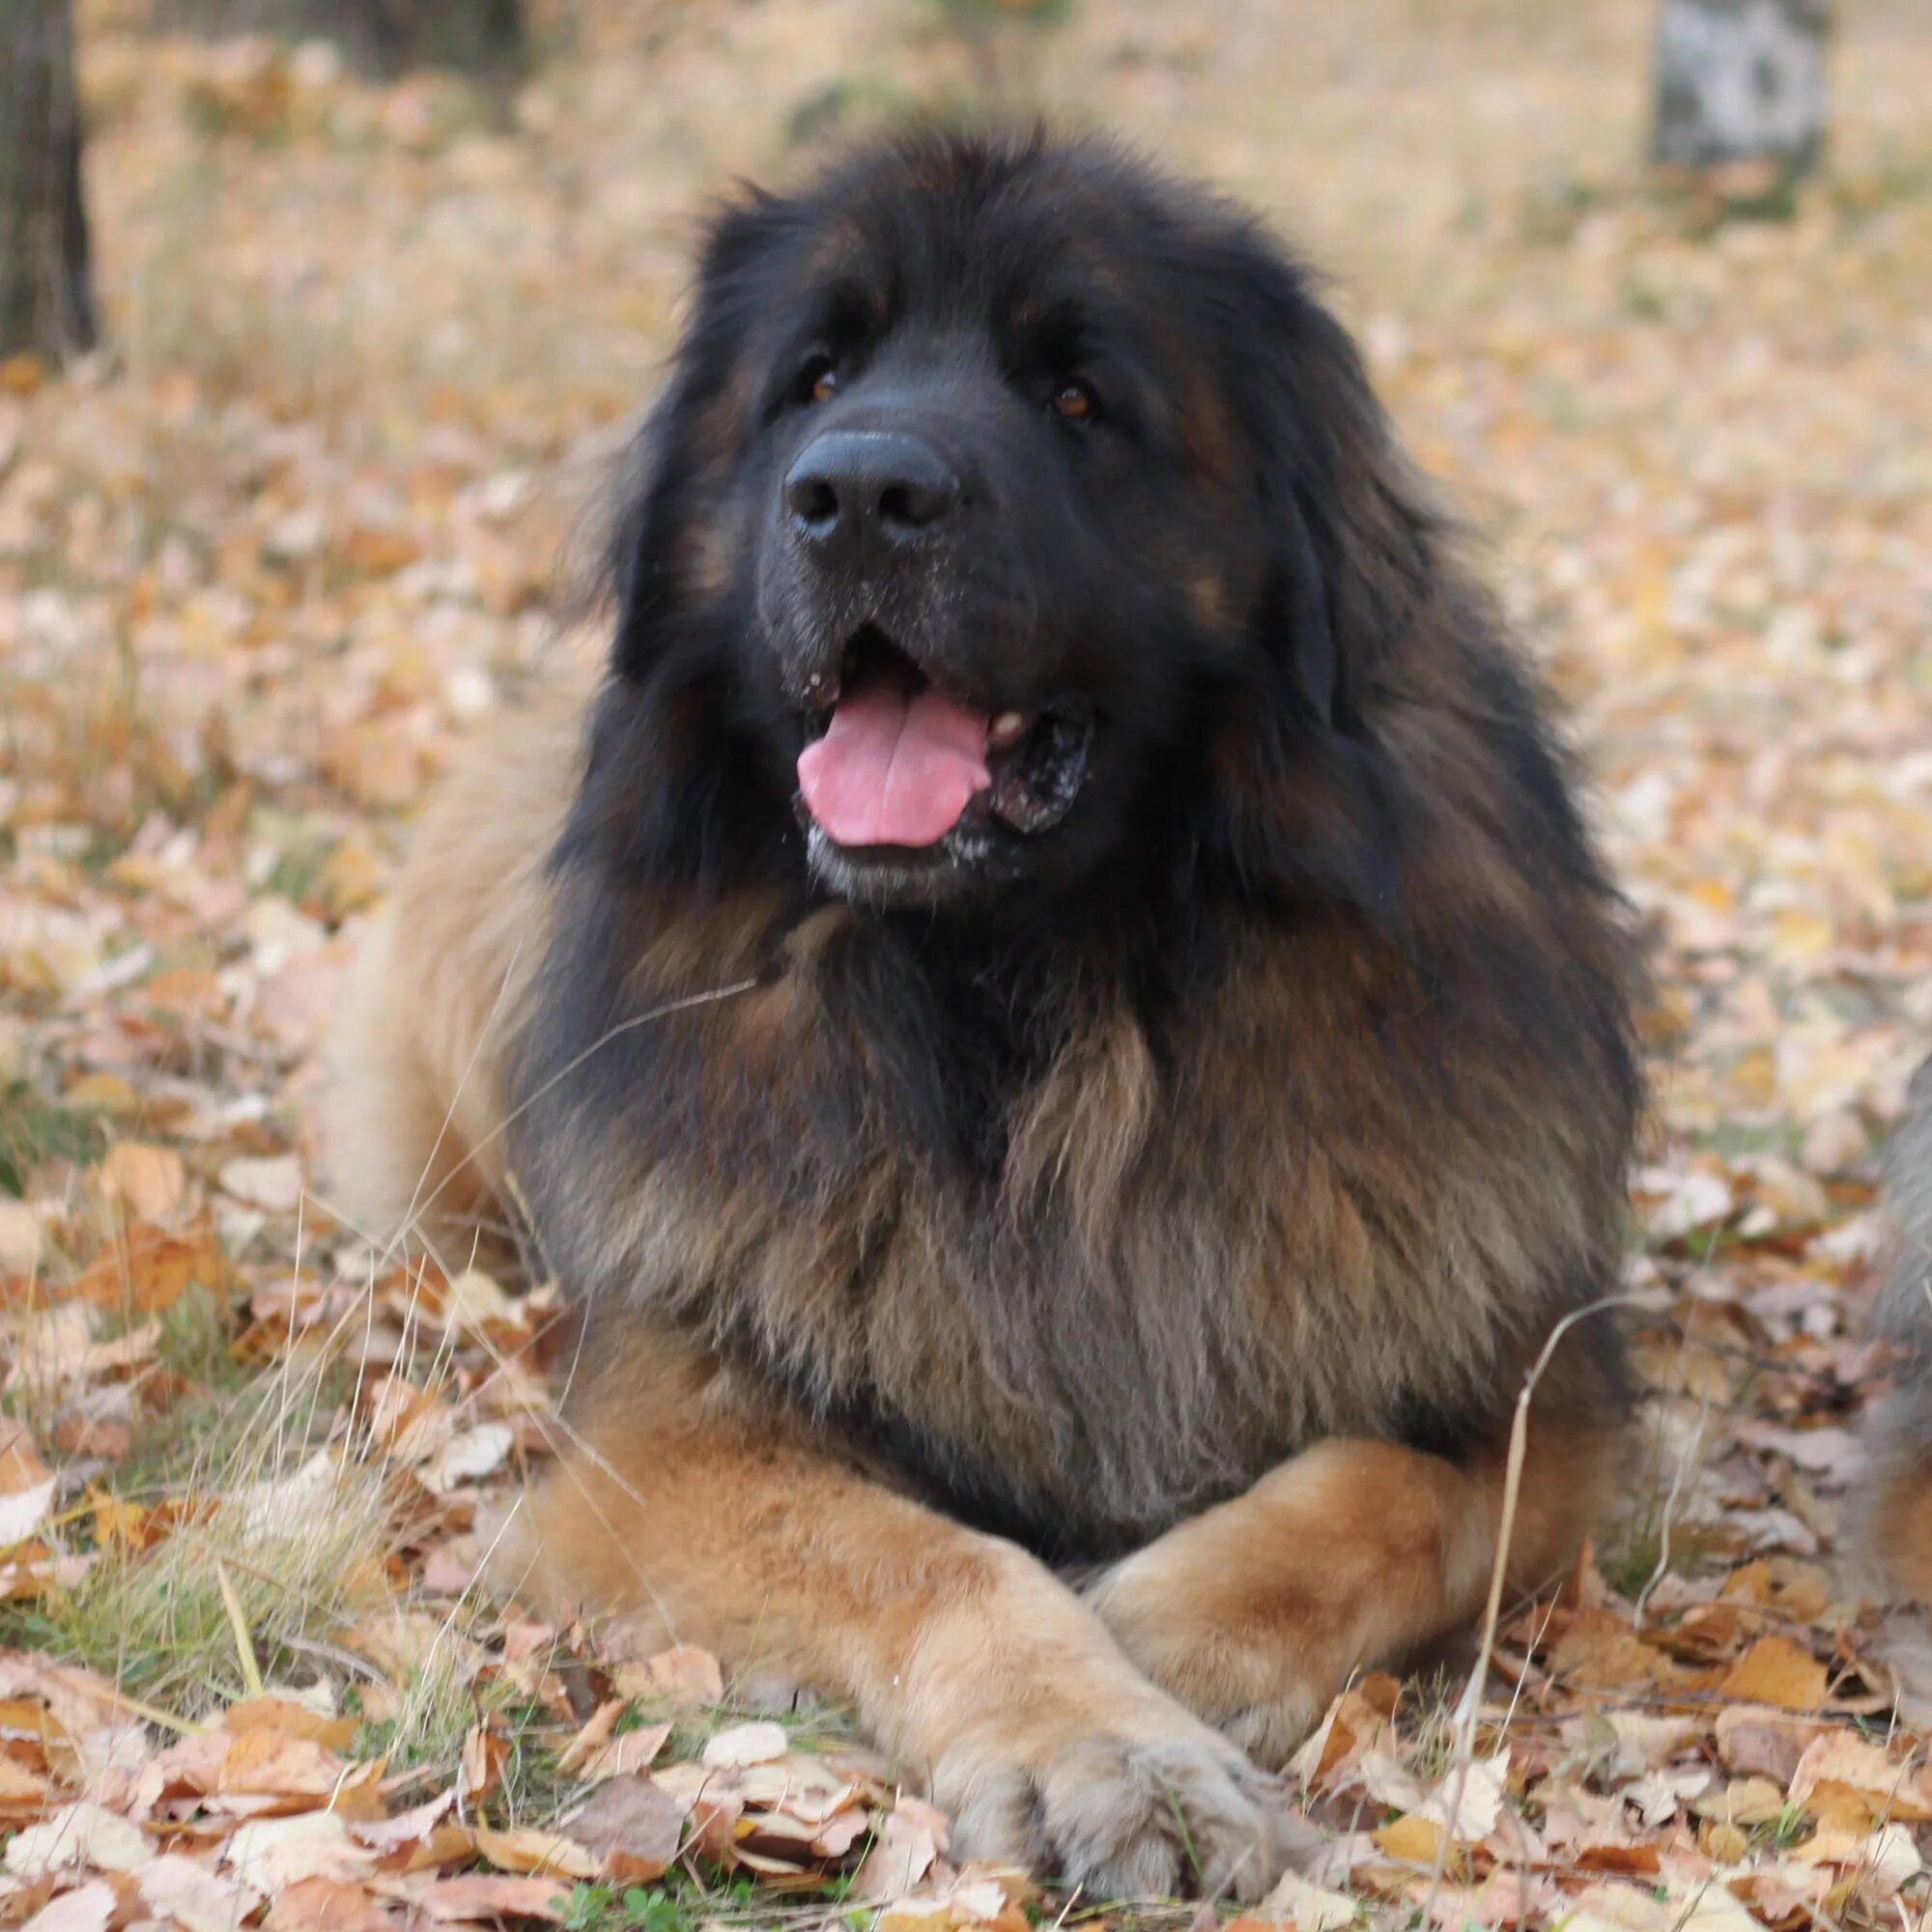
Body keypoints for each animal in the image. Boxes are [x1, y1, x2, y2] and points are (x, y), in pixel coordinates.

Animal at [332, 125, 1646, 1901]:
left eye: (1079, 394)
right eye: (814, 379)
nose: (857, 496)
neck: (1038, 1010)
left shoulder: (1539, 1396)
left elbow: (1396, 1486)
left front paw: (1169, 1628)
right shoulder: (663, 1442)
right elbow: (924, 1555)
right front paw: (1104, 1744)